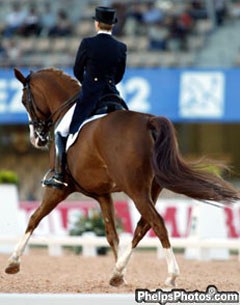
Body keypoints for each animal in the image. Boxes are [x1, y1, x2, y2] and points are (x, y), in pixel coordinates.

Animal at [5, 67, 240, 286]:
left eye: (24, 100)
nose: (37, 139)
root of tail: (148, 122)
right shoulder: (103, 194)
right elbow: (112, 234)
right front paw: (120, 273)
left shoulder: (59, 189)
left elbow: (34, 218)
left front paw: (13, 263)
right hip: (151, 189)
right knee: (143, 226)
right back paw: (117, 272)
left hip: (135, 189)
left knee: (157, 222)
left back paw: (171, 275)